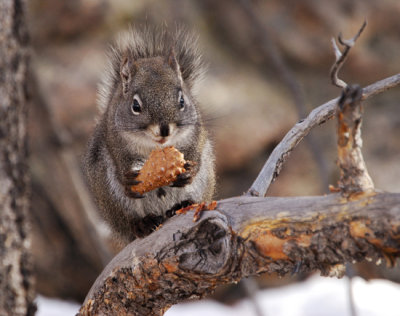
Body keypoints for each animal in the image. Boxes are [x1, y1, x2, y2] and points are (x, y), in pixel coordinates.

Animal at [83, 26, 216, 244]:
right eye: (135, 106)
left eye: (182, 101)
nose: (164, 130)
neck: (157, 148)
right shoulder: (113, 134)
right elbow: (118, 156)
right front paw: (127, 178)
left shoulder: (196, 130)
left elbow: (196, 146)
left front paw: (190, 170)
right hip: (112, 196)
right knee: (129, 220)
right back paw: (142, 224)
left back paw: (181, 205)